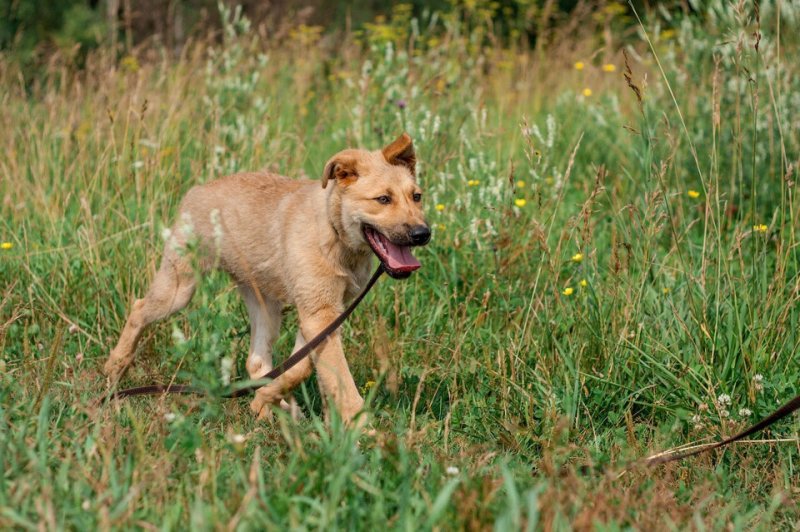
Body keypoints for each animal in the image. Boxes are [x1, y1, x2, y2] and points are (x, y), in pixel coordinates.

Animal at [105, 133, 432, 424]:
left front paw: (268, 400)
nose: (423, 234)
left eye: (416, 197)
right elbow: (334, 379)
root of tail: (198, 189)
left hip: (266, 307)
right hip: (178, 290)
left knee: (257, 361)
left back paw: (276, 408)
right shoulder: (319, 315)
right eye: (383, 199)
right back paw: (114, 369)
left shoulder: (321, 316)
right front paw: (360, 429)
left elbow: (299, 368)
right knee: (138, 309)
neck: (333, 233)